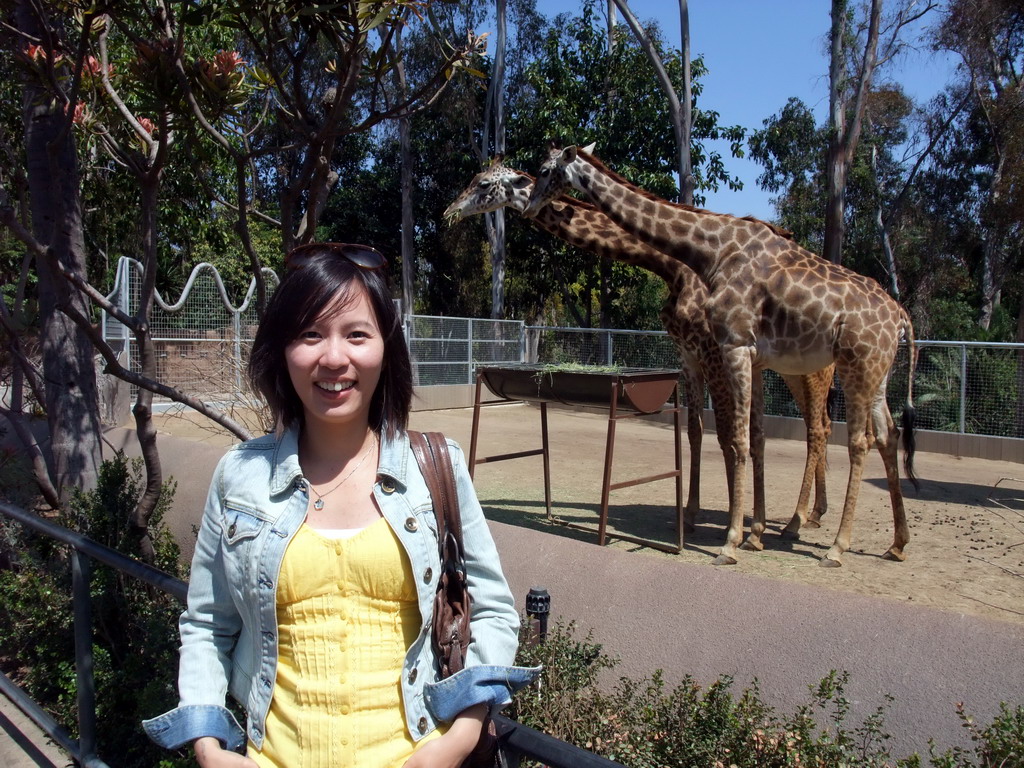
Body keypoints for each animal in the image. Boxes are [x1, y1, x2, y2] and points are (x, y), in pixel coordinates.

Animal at [444, 159, 835, 544]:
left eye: (483, 184)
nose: (450, 211)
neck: (671, 266)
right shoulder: (690, 354)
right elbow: (701, 431)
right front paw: (699, 516)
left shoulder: (713, 351)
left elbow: (727, 433)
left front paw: (734, 527)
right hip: (790, 369)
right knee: (817, 426)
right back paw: (812, 515)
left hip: (812, 370)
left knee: (817, 429)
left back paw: (796, 521)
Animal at [524, 145, 917, 565]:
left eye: (544, 170)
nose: (531, 205)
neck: (709, 251)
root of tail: (900, 316)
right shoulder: (738, 356)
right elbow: (744, 434)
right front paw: (750, 531)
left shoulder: (731, 346)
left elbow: (736, 437)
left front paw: (730, 540)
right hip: (875, 373)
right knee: (887, 434)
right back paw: (893, 542)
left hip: (851, 366)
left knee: (853, 439)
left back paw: (831, 543)